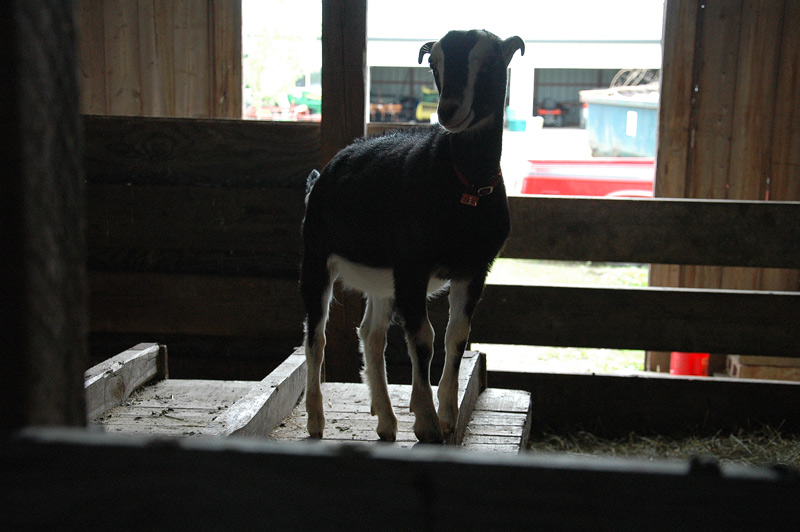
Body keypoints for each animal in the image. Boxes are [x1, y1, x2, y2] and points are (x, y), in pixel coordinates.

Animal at [301, 29, 525, 443]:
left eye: (490, 62)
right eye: (434, 64)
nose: (448, 110)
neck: (465, 185)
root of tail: (322, 176)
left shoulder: (475, 268)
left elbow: (456, 335)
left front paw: (449, 415)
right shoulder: (413, 266)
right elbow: (423, 337)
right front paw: (427, 422)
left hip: (383, 280)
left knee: (371, 335)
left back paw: (386, 422)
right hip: (316, 257)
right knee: (316, 336)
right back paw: (316, 420)